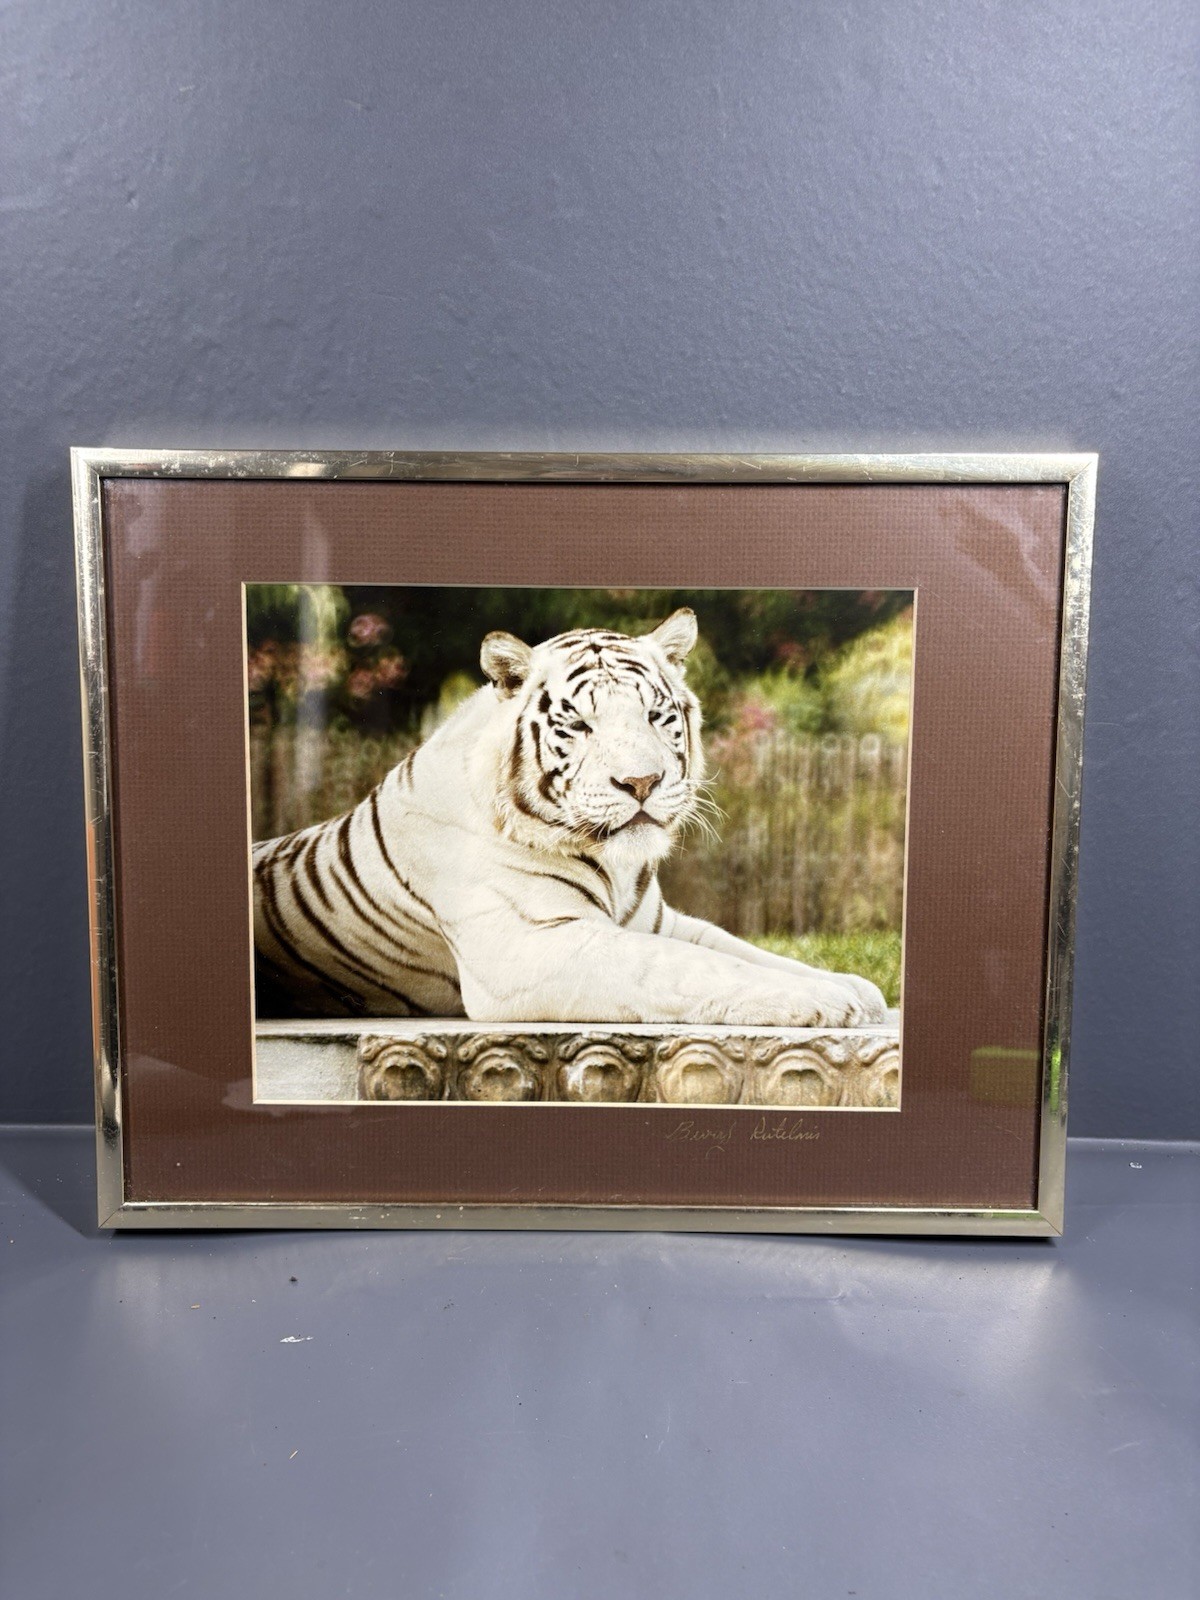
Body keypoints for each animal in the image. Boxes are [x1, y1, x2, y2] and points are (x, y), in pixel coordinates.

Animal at [252, 608, 887, 1027]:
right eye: (579, 725)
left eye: (655, 715)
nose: (642, 782)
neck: (617, 866)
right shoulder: (530, 947)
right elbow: (690, 968)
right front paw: (826, 1002)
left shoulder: (661, 922)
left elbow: (745, 951)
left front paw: (854, 987)